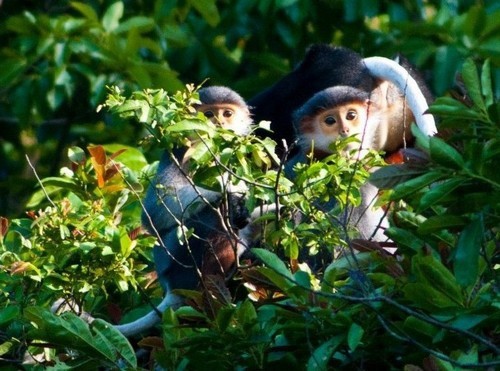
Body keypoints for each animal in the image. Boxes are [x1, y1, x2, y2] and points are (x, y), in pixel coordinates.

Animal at [114, 86, 254, 338]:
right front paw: (231, 194)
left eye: (227, 114)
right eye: (208, 115)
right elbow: (155, 211)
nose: (220, 123)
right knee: (212, 214)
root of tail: (171, 287)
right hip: (178, 258)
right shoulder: (183, 153)